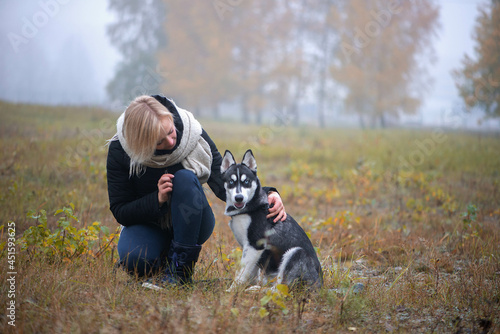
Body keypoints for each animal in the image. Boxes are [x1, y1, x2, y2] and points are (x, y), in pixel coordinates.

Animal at [221, 149, 322, 290]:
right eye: (231, 182)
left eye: (246, 182)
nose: (239, 197)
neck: (251, 207)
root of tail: (320, 283)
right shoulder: (251, 251)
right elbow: (248, 272)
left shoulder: (255, 245)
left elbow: (241, 274)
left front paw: (232, 290)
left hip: (295, 253)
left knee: (279, 289)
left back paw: (257, 290)